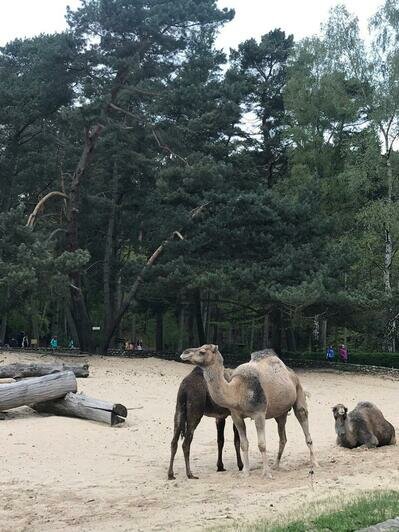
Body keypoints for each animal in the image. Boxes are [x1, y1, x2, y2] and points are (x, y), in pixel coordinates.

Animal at [180, 344, 318, 478]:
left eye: (202, 351)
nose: (184, 353)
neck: (237, 390)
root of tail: (291, 373)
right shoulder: (236, 416)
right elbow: (243, 444)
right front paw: (245, 472)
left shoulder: (259, 414)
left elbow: (262, 444)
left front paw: (266, 473)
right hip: (281, 412)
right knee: (282, 437)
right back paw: (276, 465)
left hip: (298, 391)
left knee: (304, 423)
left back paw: (315, 463)